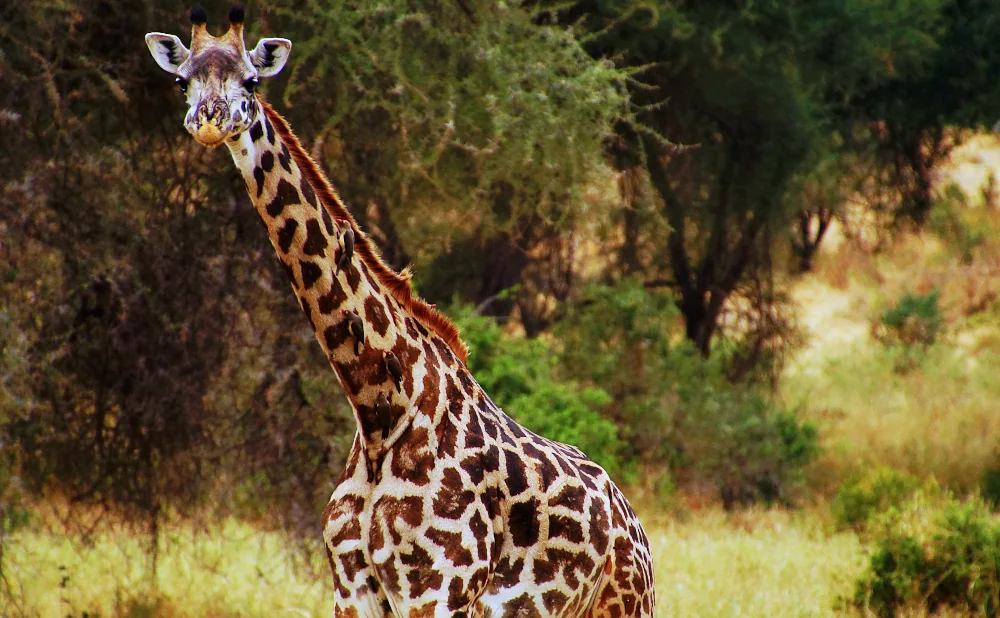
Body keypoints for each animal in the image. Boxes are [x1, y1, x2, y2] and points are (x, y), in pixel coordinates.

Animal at [145, 7, 652, 612]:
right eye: (183, 80)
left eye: (251, 80)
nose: (209, 120)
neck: (379, 410)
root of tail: (633, 523)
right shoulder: (351, 589)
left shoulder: (441, 590)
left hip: (627, 605)